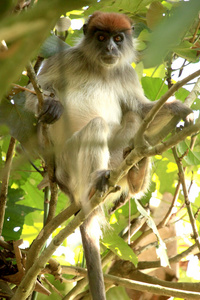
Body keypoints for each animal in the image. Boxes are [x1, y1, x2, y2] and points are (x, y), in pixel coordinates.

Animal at [25, 11, 192, 300]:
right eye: (102, 37)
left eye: (118, 38)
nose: (111, 49)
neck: (99, 68)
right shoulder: (63, 59)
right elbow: (30, 97)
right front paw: (51, 105)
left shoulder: (126, 73)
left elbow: (143, 109)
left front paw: (179, 109)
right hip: (68, 166)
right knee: (97, 126)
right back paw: (97, 181)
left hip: (116, 161)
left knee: (133, 118)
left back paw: (135, 175)